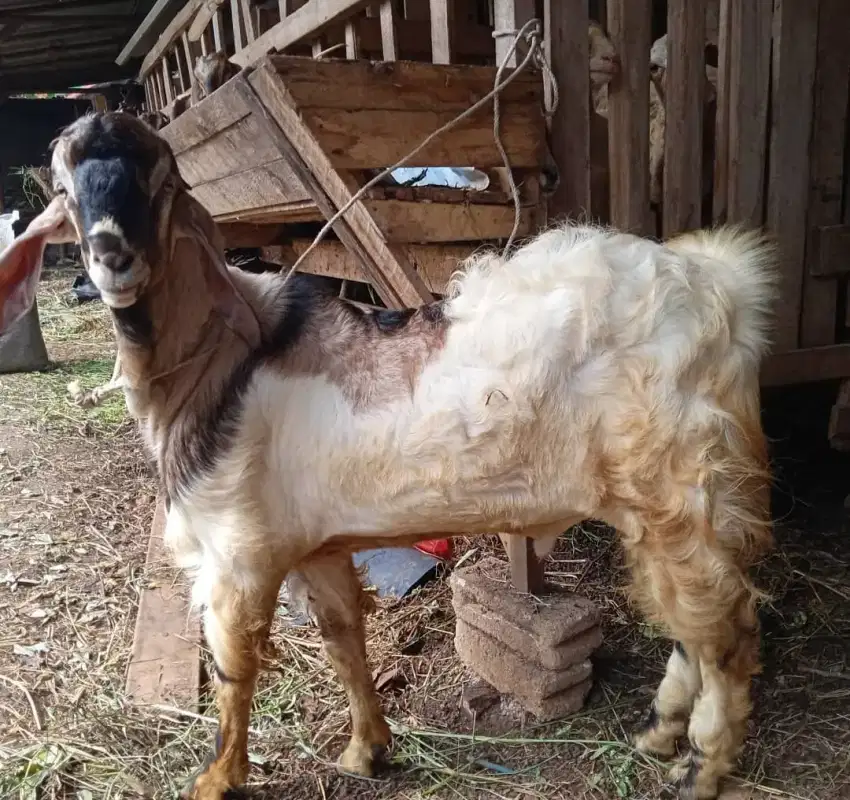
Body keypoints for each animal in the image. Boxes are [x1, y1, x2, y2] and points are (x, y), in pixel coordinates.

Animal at [0, 112, 780, 800]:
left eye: (162, 180)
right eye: (65, 186)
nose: (112, 256)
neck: (219, 364)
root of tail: (717, 284)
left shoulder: (238, 556)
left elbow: (233, 671)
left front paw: (217, 780)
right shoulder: (314, 546)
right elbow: (345, 639)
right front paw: (367, 751)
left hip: (679, 484)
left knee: (728, 633)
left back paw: (700, 770)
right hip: (661, 504)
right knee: (691, 626)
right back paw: (658, 734)